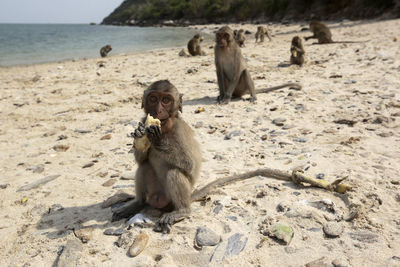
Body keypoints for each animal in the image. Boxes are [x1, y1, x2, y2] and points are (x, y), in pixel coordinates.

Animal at [111, 80, 202, 234]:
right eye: (153, 99)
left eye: (166, 100)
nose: (158, 111)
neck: (165, 129)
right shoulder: (142, 120)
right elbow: (140, 160)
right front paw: (140, 134)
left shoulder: (179, 130)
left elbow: (188, 164)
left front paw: (155, 138)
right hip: (155, 194)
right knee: (144, 166)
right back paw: (138, 203)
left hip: (170, 200)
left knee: (174, 172)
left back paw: (182, 211)